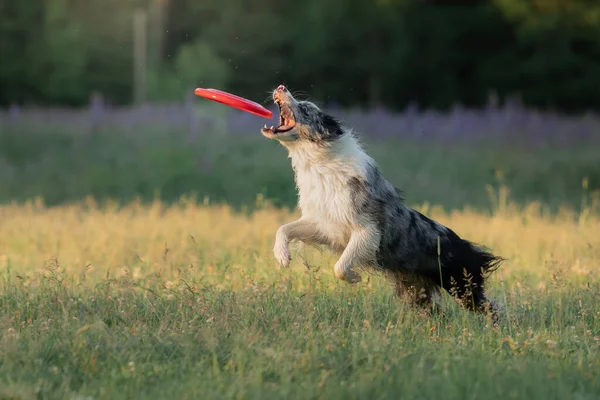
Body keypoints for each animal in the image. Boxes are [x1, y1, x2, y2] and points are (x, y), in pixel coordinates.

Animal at [260, 83, 504, 316]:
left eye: (305, 108)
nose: (281, 87)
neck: (318, 162)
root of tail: (464, 244)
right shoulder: (324, 224)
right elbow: (284, 228)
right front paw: (281, 256)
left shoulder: (367, 230)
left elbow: (340, 266)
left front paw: (354, 277)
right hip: (416, 292)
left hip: (461, 285)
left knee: (491, 309)